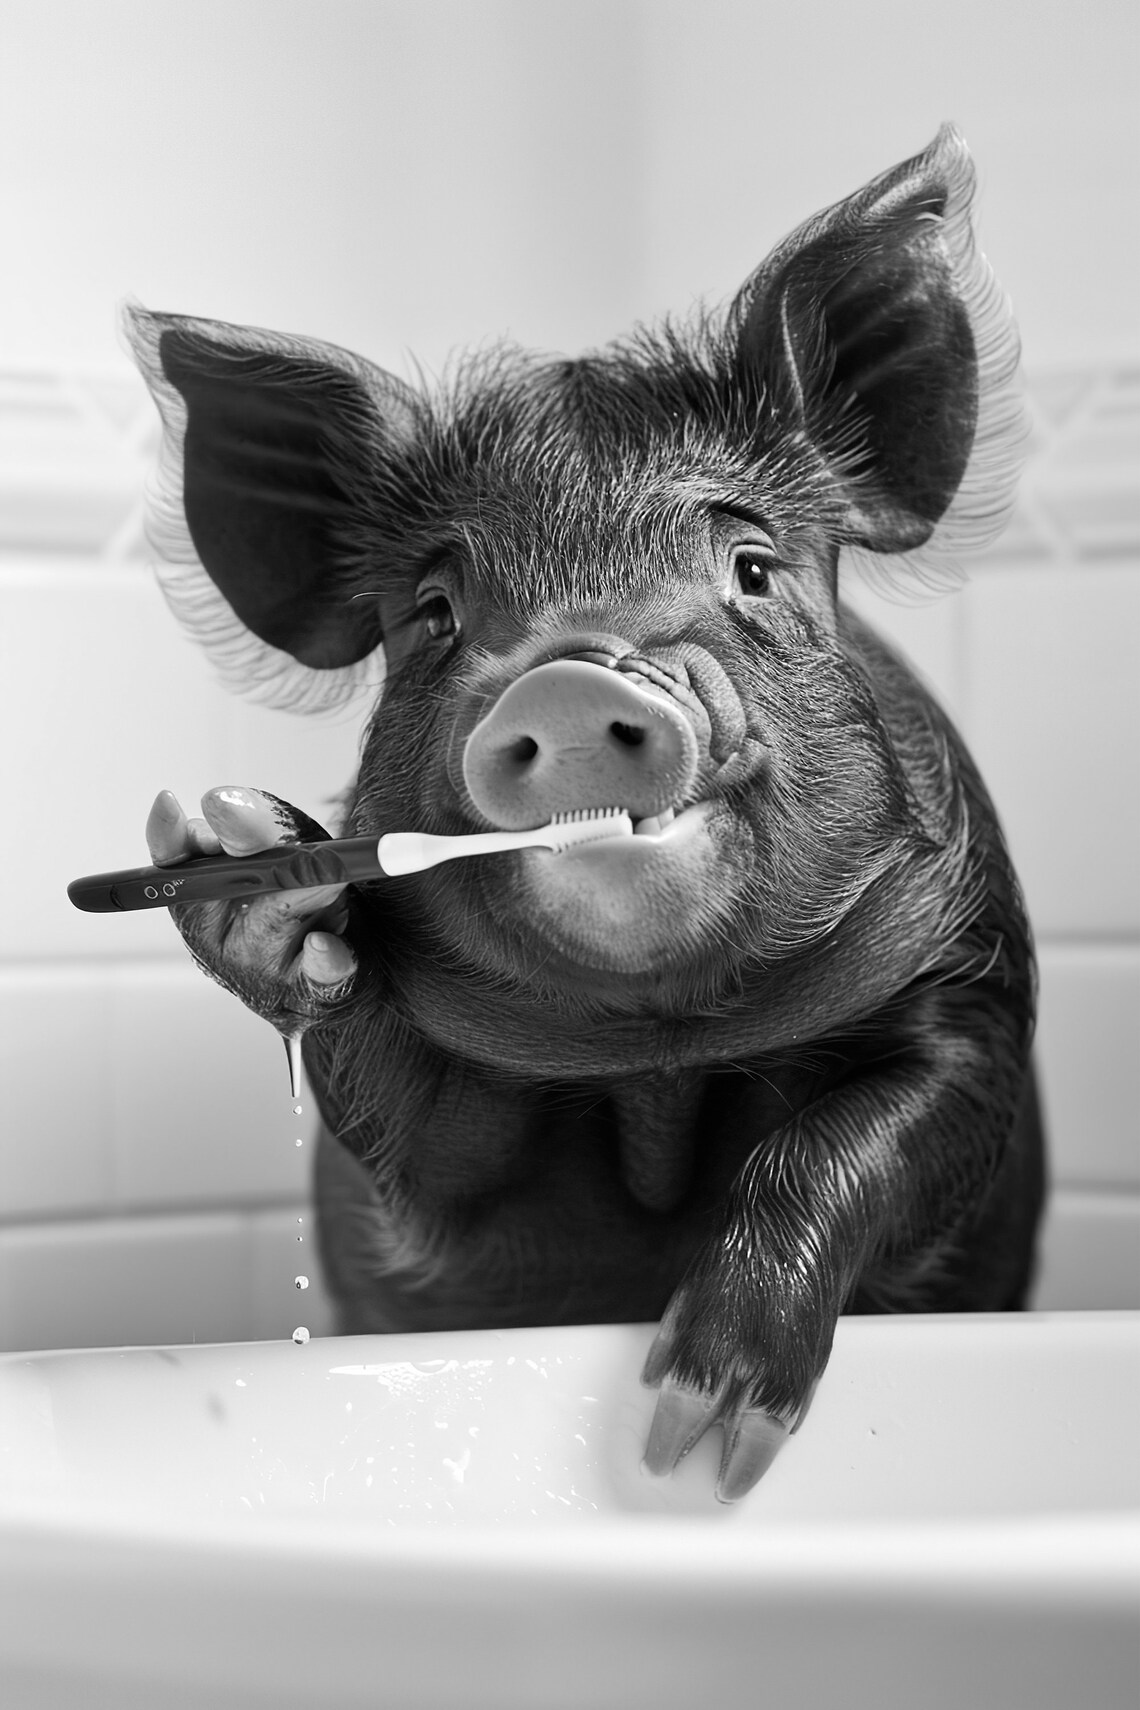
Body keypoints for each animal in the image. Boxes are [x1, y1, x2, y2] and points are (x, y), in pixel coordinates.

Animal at [127, 125, 1044, 1501]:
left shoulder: (974, 978)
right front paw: (250, 858)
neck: (656, 1048)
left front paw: (696, 1442)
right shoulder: (436, 1165)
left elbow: (877, 1127)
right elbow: (405, 1130)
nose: (569, 675)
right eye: (434, 615)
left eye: (753, 568)